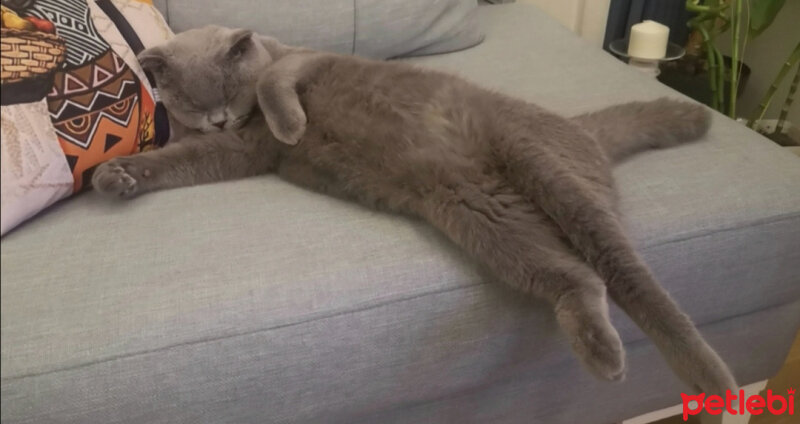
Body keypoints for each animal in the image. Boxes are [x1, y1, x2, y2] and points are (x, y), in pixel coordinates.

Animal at [94, 24, 736, 392]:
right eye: (191, 102)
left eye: (227, 90)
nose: (220, 117)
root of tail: (583, 132)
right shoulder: (234, 152)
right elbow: (180, 160)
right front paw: (117, 176)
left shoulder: (300, 63)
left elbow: (277, 79)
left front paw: (292, 124)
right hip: (486, 220)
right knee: (576, 277)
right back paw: (603, 355)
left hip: (540, 168)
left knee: (618, 267)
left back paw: (705, 381)